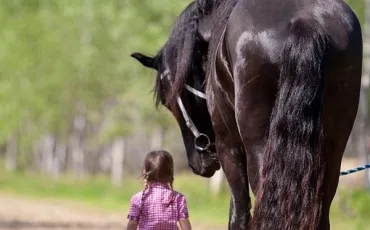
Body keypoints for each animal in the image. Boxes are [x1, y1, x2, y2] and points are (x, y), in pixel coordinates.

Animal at [132, 0, 362, 229]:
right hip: (332, 151)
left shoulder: (228, 148)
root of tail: (305, 20)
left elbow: (238, 211)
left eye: (167, 102)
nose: (198, 164)